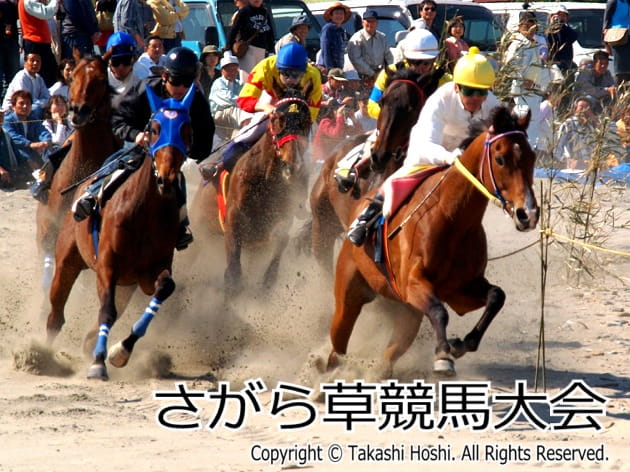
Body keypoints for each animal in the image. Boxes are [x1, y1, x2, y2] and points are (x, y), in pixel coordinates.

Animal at [45, 85, 195, 380]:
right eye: (155, 128)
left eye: (186, 130)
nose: (167, 179)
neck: (144, 212)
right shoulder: (107, 266)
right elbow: (107, 311)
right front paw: (98, 363)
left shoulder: (149, 273)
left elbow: (164, 287)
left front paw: (119, 351)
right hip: (67, 260)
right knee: (56, 313)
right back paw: (38, 353)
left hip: (127, 285)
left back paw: (89, 344)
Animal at [190, 89, 314, 294]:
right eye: (277, 120)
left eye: (307, 123)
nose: (292, 166)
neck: (266, 180)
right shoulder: (233, 221)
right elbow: (233, 269)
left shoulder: (280, 219)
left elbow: (282, 238)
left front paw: (268, 280)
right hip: (201, 230)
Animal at [328, 105, 540, 378]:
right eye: (501, 158)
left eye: (532, 158)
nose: (528, 214)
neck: (451, 219)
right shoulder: (414, 284)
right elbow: (440, 311)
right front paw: (443, 356)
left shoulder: (460, 289)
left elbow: (496, 296)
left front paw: (461, 344)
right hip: (349, 291)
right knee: (339, 340)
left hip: (407, 313)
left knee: (390, 352)